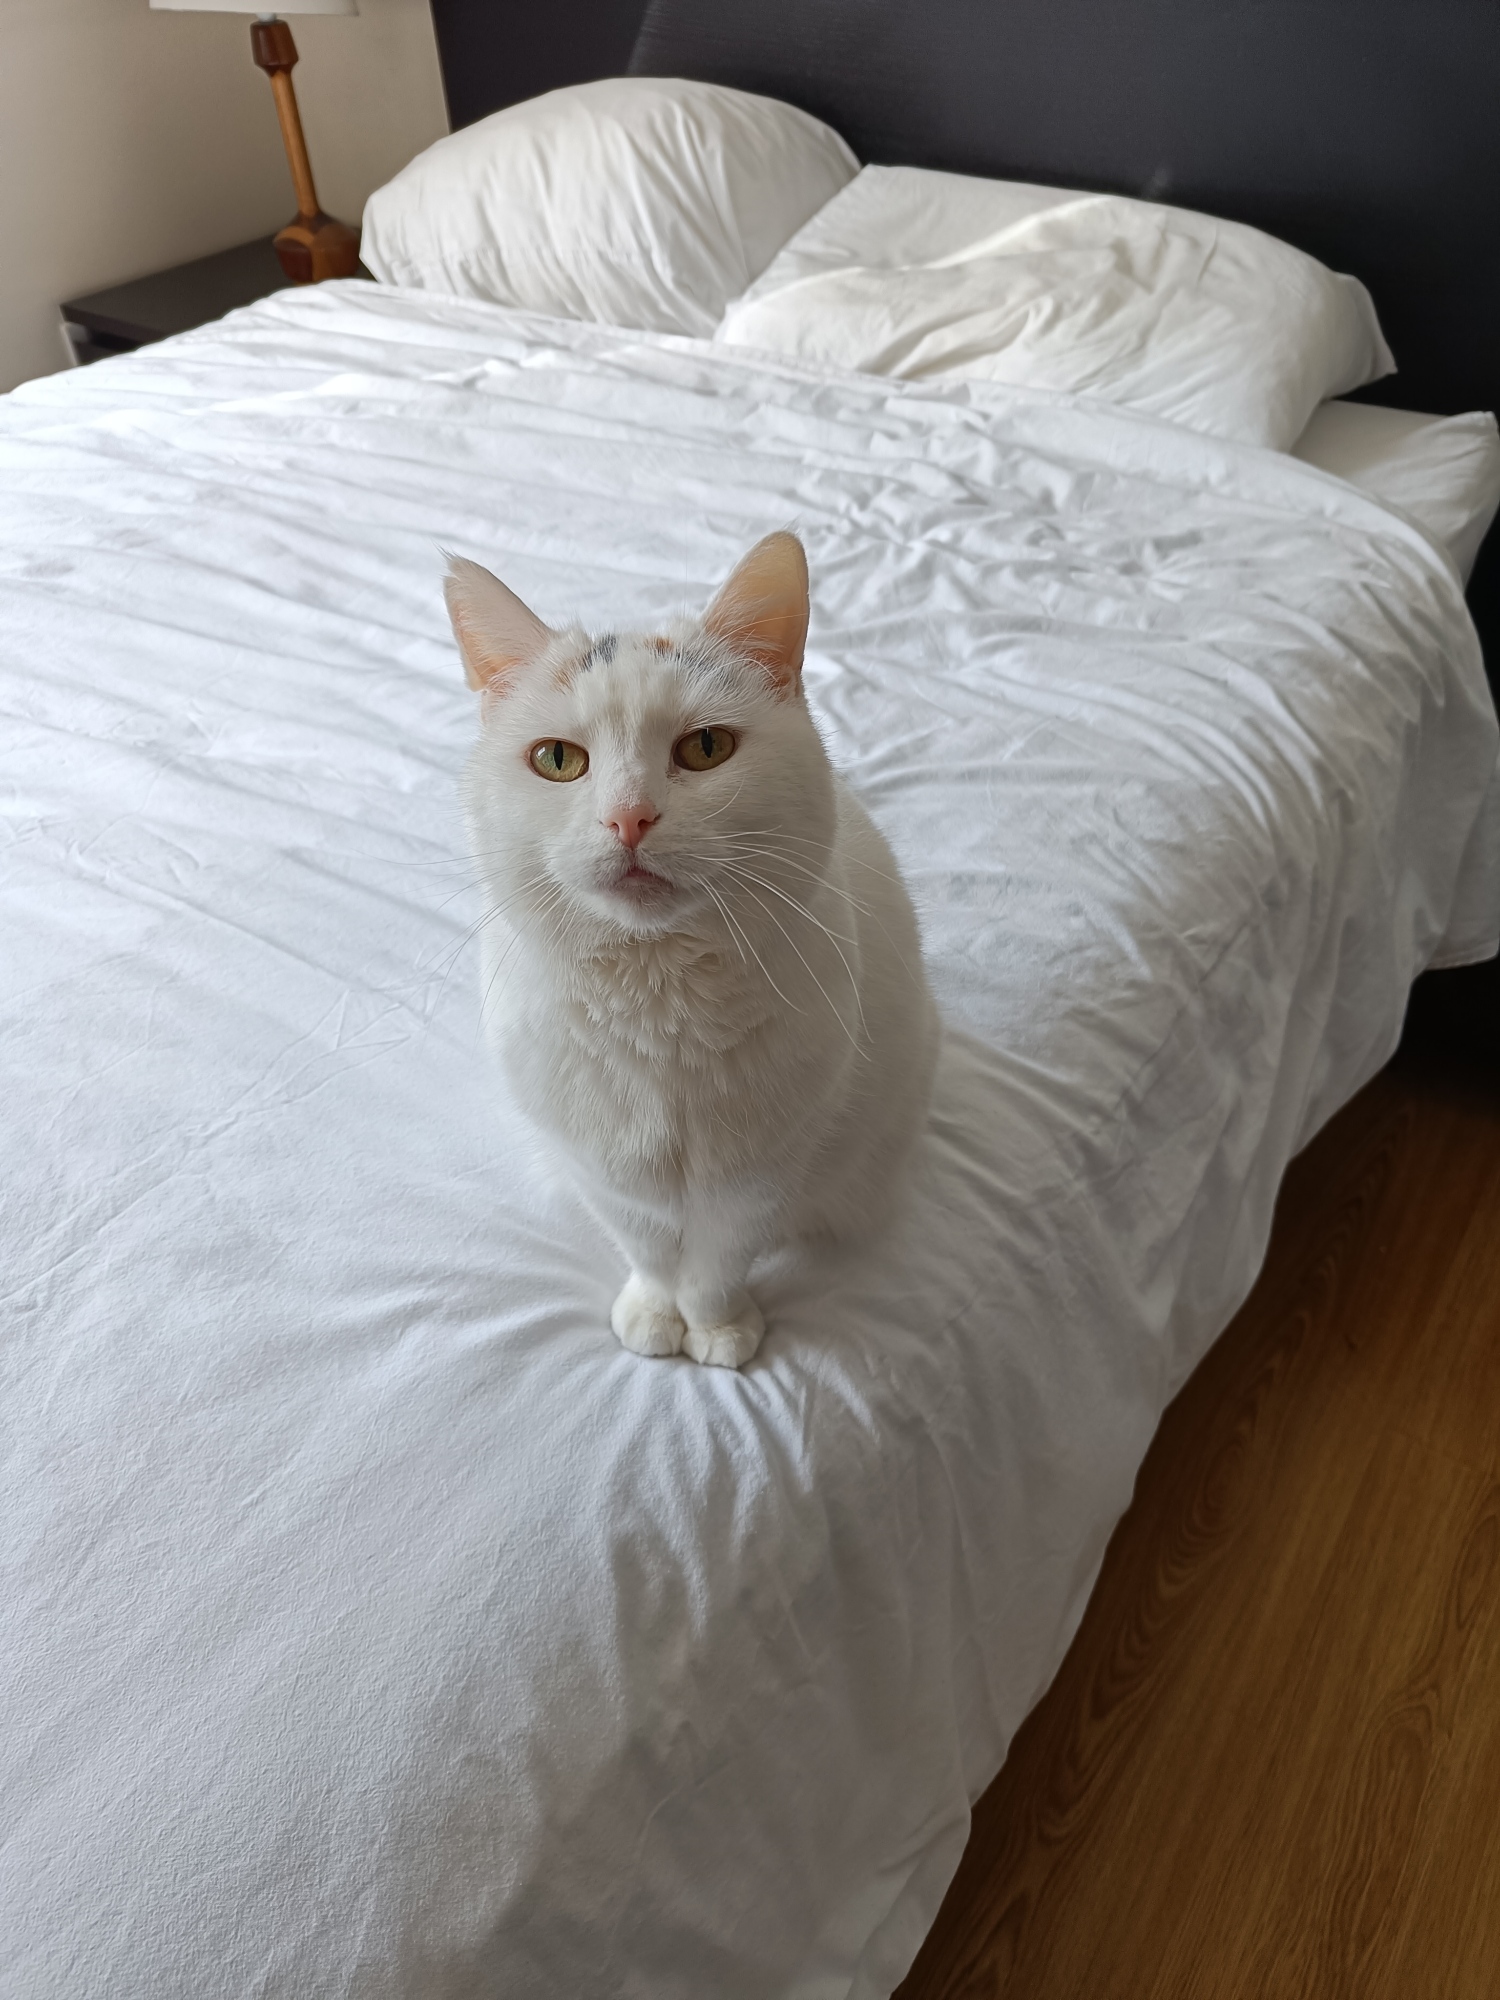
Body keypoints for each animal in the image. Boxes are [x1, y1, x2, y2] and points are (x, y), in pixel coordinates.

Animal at [447, 530, 938, 1368]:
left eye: (706, 747)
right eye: (556, 760)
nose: (630, 818)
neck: (656, 1000)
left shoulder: (760, 1179)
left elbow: (717, 1263)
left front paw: (717, 1331)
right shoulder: (606, 1175)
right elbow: (648, 1250)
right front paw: (654, 1317)